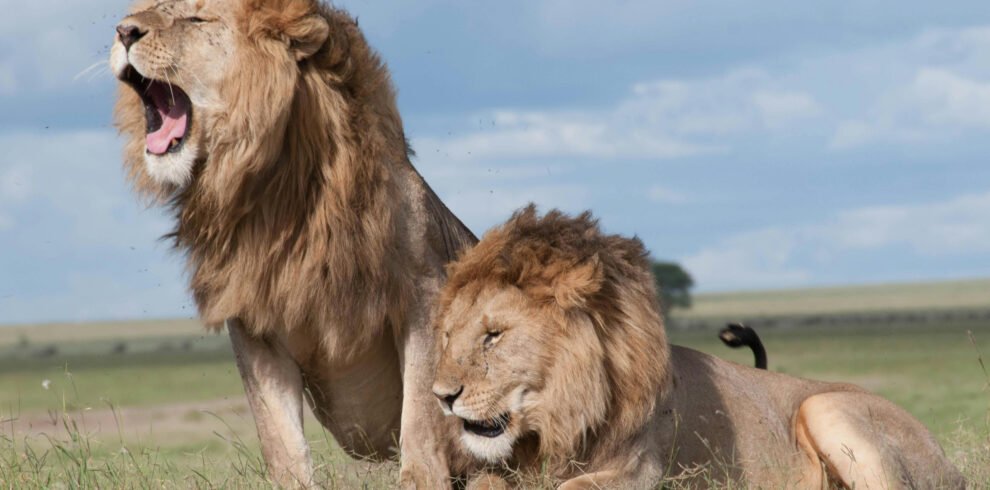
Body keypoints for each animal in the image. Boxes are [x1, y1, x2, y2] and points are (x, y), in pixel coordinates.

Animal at [110, 0, 476, 487]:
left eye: (196, 19)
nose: (123, 32)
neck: (276, 197)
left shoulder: (424, 295)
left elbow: (420, 421)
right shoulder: (253, 325)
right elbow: (280, 440)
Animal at [431, 206, 964, 489]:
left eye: (494, 335)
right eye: (448, 335)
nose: (441, 397)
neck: (559, 417)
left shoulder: (640, 473)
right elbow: (483, 481)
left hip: (826, 406)